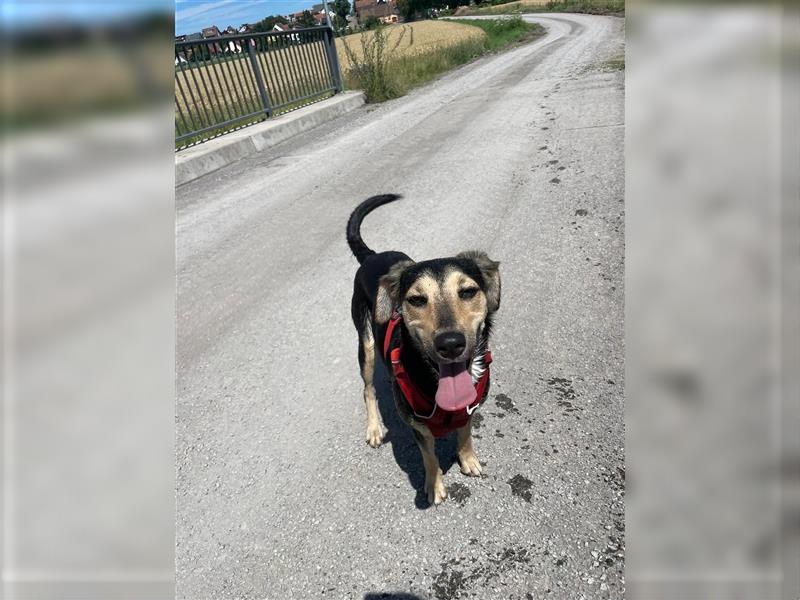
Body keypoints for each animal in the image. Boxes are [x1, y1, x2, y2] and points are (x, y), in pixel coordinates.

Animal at [346, 195, 500, 504]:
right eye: (416, 299)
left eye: (468, 292)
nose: (450, 344)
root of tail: (372, 257)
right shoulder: (418, 426)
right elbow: (429, 457)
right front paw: (435, 486)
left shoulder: (470, 408)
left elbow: (465, 432)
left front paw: (468, 459)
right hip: (365, 344)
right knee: (368, 389)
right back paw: (374, 428)